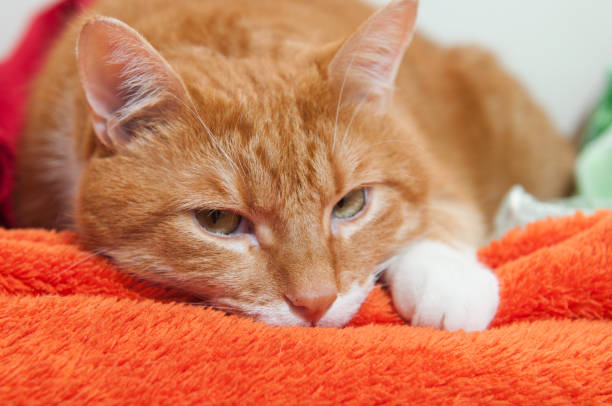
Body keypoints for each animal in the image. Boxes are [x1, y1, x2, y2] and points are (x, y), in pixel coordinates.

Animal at [11, 0, 572, 330]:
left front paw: (448, 280)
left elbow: (442, 214)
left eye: (350, 204)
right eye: (219, 221)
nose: (316, 303)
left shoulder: (439, 170)